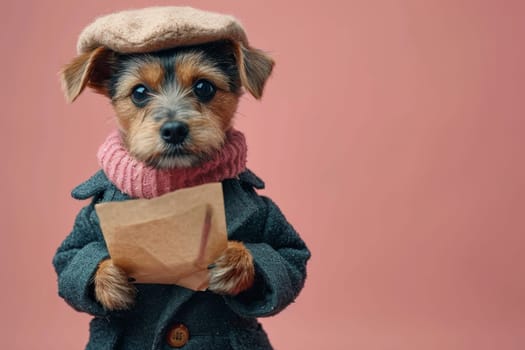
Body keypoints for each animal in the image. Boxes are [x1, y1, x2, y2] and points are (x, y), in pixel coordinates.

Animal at [61, 39, 272, 310]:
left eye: (204, 87)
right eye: (139, 92)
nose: (174, 130)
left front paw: (233, 262)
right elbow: (69, 257)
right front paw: (111, 278)